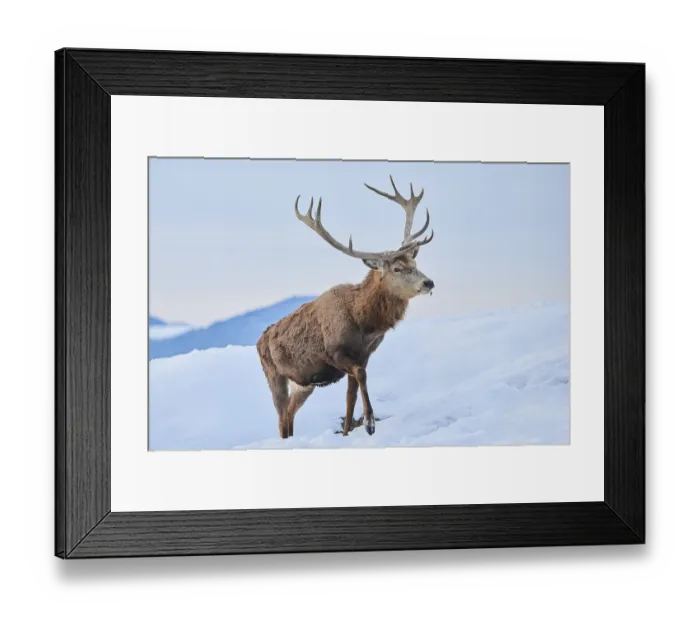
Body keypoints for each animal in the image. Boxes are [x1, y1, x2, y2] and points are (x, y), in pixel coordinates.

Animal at [256, 176, 435, 440]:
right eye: (397, 268)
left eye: (414, 262)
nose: (428, 282)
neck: (364, 323)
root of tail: (259, 340)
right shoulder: (336, 352)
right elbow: (360, 376)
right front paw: (370, 423)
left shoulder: (364, 354)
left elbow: (351, 396)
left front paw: (348, 432)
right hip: (273, 374)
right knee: (280, 415)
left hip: (304, 384)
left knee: (289, 413)